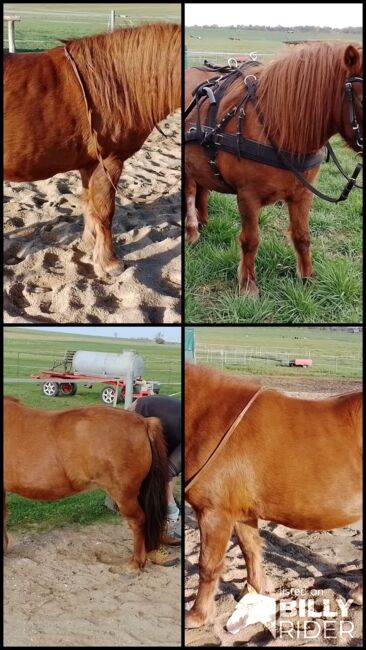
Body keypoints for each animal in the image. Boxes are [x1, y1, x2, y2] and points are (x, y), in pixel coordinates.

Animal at [2, 22, 180, 274]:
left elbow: (90, 205)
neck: (118, 82)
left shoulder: (90, 164)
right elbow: (105, 211)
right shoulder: (110, 162)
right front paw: (109, 261)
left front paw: (89, 244)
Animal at [184, 362, 362, 624]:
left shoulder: (213, 513)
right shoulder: (241, 513)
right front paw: (254, 591)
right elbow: (250, 549)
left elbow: (208, 564)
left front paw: (198, 615)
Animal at [186, 41, 364, 292]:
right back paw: (192, 231)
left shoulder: (302, 194)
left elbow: (302, 236)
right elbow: (250, 240)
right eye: (362, 99)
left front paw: (307, 278)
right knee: (190, 193)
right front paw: (248, 284)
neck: (278, 127)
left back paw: (203, 221)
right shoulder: (247, 196)